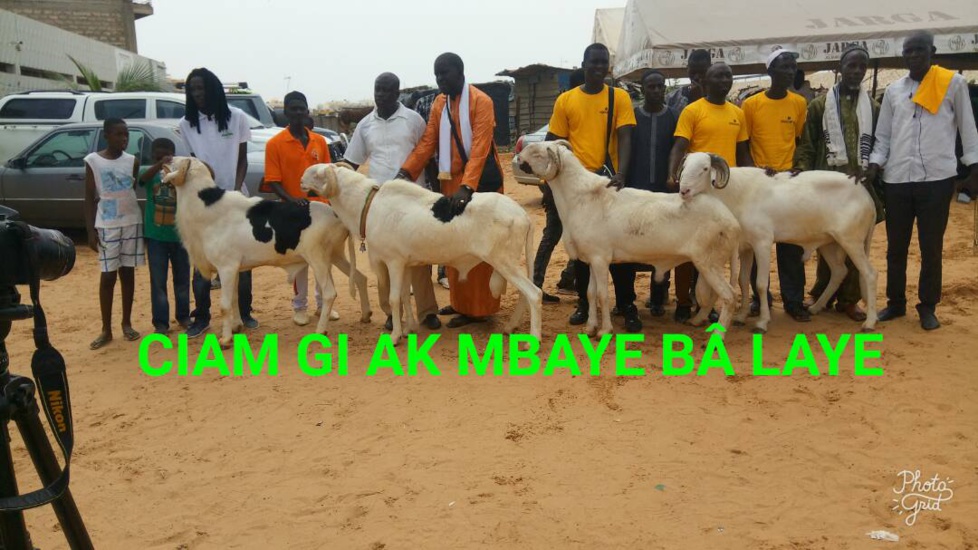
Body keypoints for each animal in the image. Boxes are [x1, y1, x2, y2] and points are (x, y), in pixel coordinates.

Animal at [164, 155, 370, 348]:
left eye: (179, 161)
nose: (167, 158)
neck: (207, 207)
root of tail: (336, 214)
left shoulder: (226, 267)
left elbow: (224, 306)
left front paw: (225, 339)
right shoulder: (235, 269)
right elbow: (234, 299)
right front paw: (236, 327)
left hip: (317, 258)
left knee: (329, 293)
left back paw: (321, 331)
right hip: (334, 255)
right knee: (360, 277)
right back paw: (366, 315)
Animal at [300, 163, 540, 344]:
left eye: (316, 173)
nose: (301, 180)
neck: (368, 205)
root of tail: (523, 215)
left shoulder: (394, 262)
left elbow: (394, 298)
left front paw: (395, 336)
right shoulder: (406, 264)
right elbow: (405, 296)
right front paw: (409, 329)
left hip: (503, 262)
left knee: (534, 294)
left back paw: (533, 341)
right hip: (510, 263)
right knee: (524, 294)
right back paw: (511, 327)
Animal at [516, 141, 736, 336]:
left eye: (538, 154)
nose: (517, 157)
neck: (580, 199)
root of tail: (730, 220)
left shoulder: (600, 259)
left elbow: (603, 295)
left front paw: (604, 331)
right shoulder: (592, 259)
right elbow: (591, 293)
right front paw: (590, 328)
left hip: (709, 262)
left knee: (729, 296)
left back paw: (717, 335)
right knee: (716, 295)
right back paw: (696, 321)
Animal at [680, 151, 876, 332]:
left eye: (704, 169)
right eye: (685, 166)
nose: (684, 191)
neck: (739, 194)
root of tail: (867, 197)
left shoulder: (763, 244)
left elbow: (760, 284)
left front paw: (762, 322)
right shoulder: (746, 248)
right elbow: (743, 282)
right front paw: (741, 316)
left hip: (851, 241)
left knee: (869, 274)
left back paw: (870, 322)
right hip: (830, 243)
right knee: (839, 271)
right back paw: (815, 307)